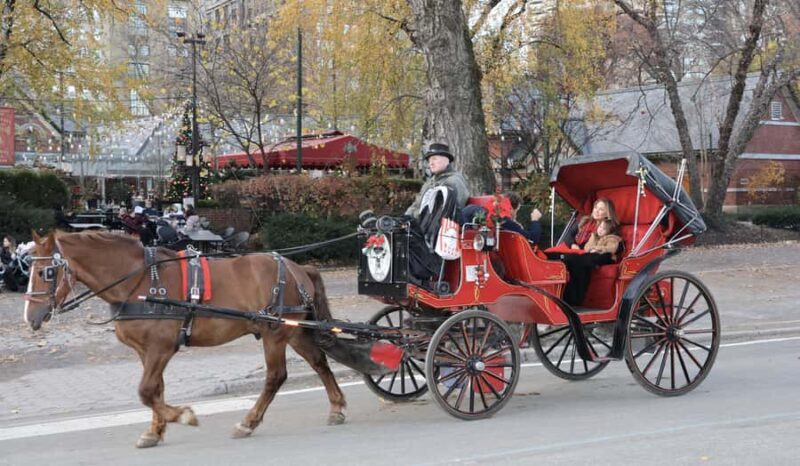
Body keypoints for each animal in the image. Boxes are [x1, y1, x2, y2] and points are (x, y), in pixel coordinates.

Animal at [23, 230, 346, 448]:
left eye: (45, 271)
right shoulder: (146, 352)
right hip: (295, 331)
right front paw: (155, 430)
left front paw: (183, 416)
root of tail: (297, 267)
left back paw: (248, 422)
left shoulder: (161, 349)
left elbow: (146, 391)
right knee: (319, 362)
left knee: (276, 377)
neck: (140, 281)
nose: (30, 317)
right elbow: (156, 390)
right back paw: (336, 407)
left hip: (275, 334)